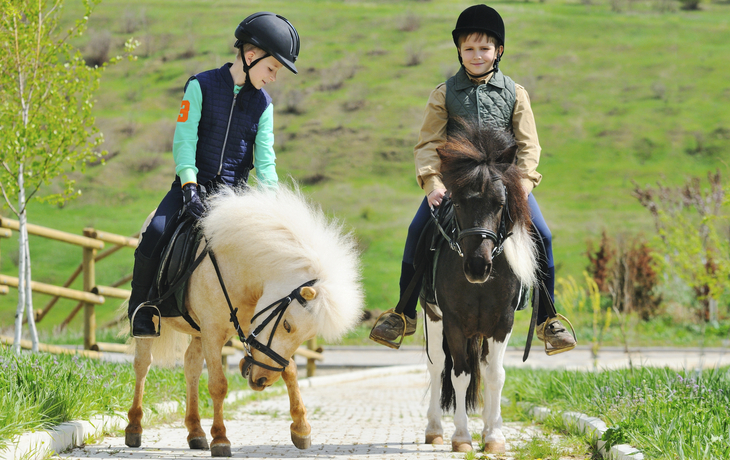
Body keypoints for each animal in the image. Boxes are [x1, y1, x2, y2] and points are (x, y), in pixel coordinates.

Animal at [124, 184, 364, 457]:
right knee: (143, 365)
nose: (262, 381)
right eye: (287, 325)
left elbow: (290, 369)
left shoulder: (253, 329)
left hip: (198, 332)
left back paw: (195, 431)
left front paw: (301, 427)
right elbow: (218, 384)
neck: (239, 269)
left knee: (191, 366)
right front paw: (220, 439)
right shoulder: (214, 332)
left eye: (307, 336)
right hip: (156, 324)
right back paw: (134, 427)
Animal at [421, 121, 538, 453]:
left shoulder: (502, 322)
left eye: (500, 204)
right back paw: (434, 429)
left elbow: (495, 375)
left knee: (482, 368)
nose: (477, 267)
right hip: (432, 317)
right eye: (458, 202)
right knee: (437, 366)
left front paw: (494, 435)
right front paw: (462, 437)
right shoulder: (454, 323)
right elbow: (459, 375)